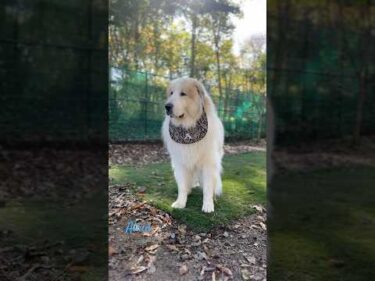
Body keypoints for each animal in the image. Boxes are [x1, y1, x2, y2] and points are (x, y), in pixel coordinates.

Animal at [161, 77, 223, 212]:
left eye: (183, 94)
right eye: (171, 93)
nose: (167, 106)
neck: (188, 128)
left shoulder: (208, 163)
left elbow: (208, 187)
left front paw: (208, 205)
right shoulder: (180, 162)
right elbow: (182, 185)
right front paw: (180, 202)